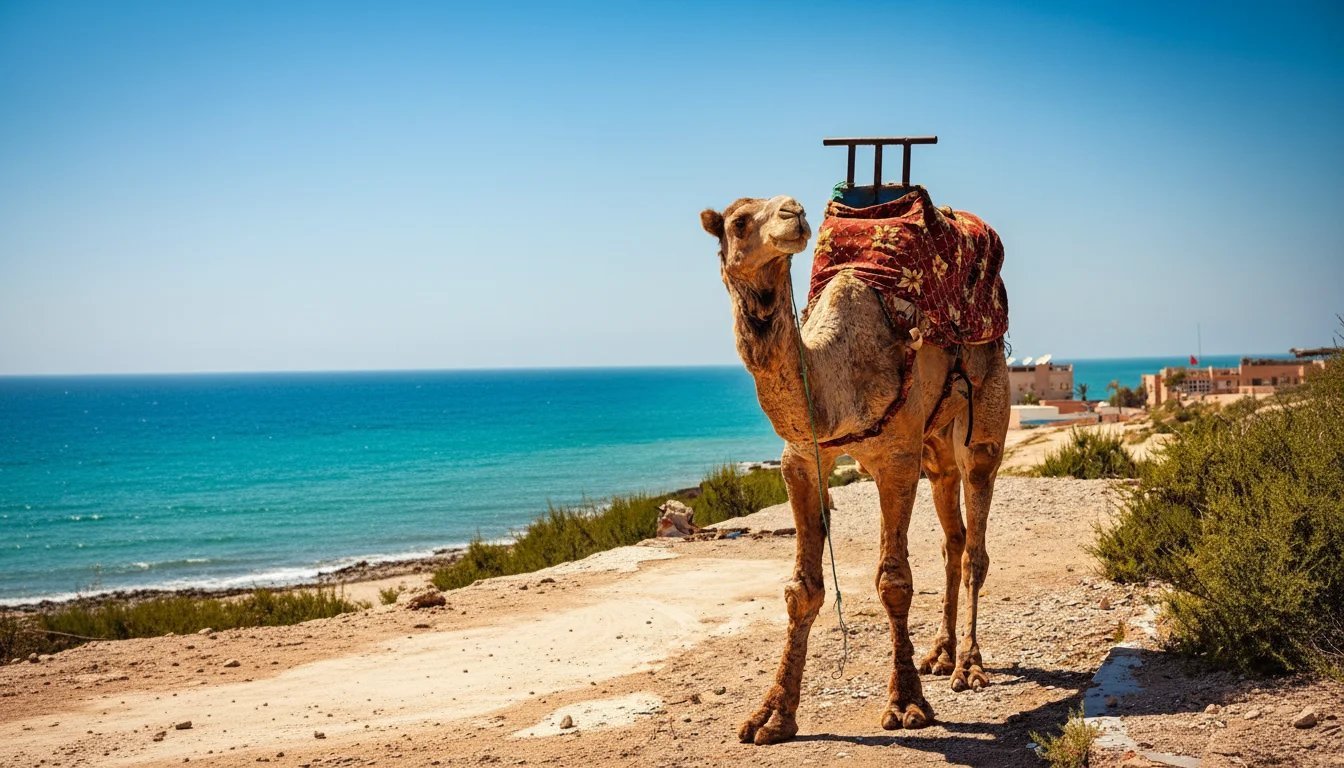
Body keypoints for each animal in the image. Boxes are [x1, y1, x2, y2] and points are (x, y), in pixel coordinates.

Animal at [699, 194, 1010, 744]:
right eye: (738, 222)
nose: (792, 213)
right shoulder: (801, 458)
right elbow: (801, 589)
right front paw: (771, 716)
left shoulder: (897, 459)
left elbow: (894, 582)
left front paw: (907, 705)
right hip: (935, 445)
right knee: (952, 536)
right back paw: (940, 653)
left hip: (985, 408)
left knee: (975, 539)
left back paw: (969, 667)